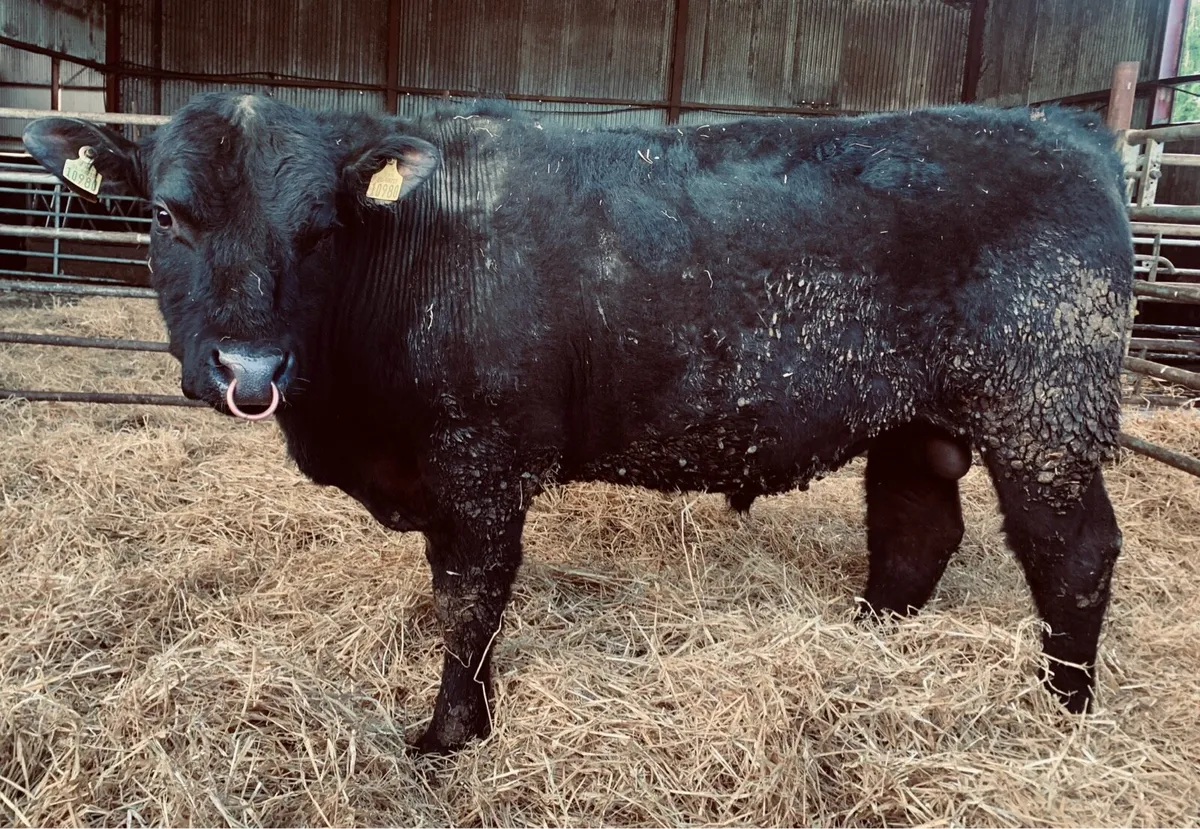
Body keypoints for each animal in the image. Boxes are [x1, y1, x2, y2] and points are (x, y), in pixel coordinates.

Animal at [23, 92, 1134, 754]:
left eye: (321, 224)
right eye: (167, 215)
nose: (250, 367)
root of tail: (1066, 129)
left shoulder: (480, 459)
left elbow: (470, 598)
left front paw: (450, 732)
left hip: (1044, 412)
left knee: (1072, 552)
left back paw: (1066, 711)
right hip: (915, 425)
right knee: (914, 532)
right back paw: (863, 643)